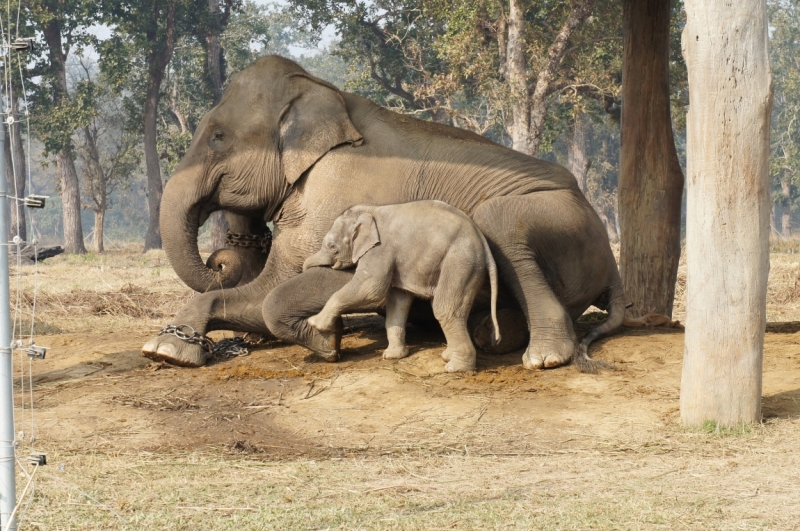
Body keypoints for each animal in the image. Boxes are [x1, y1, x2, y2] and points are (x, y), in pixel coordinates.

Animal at [304, 201, 496, 374]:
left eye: (332, 247)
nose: (304, 269)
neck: (369, 210)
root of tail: (484, 244)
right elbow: (398, 300)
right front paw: (392, 356)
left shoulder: (381, 249)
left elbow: (372, 287)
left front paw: (314, 323)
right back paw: (447, 356)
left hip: (460, 263)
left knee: (444, 309)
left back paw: (455, 368)